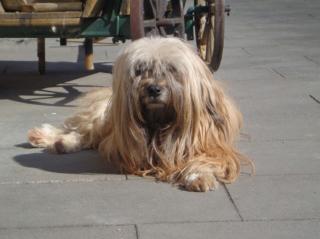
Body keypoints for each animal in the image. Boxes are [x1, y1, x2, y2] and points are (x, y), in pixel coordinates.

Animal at [28, 36, 252, 191]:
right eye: (140, 70)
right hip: (102, 118)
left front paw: (198, 176)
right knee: (83, 132)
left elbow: (202, 159)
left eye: (171, 69)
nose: (153, 89)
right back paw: (51, 139)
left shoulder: (217, 148)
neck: (162, 121)